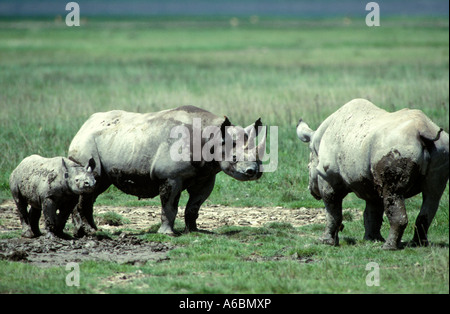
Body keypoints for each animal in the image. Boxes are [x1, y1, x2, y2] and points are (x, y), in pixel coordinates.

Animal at [298, 99, 448, 249]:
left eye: (308, 167)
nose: (311, 190)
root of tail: (424, 132)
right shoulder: (370, 183)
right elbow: (372, 212)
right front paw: (372, 240)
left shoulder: (328, 175)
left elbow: (332, 209)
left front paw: (325, 242)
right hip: (441, 148)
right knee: (432, 196)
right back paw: (418, 244)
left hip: (397, 148)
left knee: (394, 193)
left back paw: (388, 247)